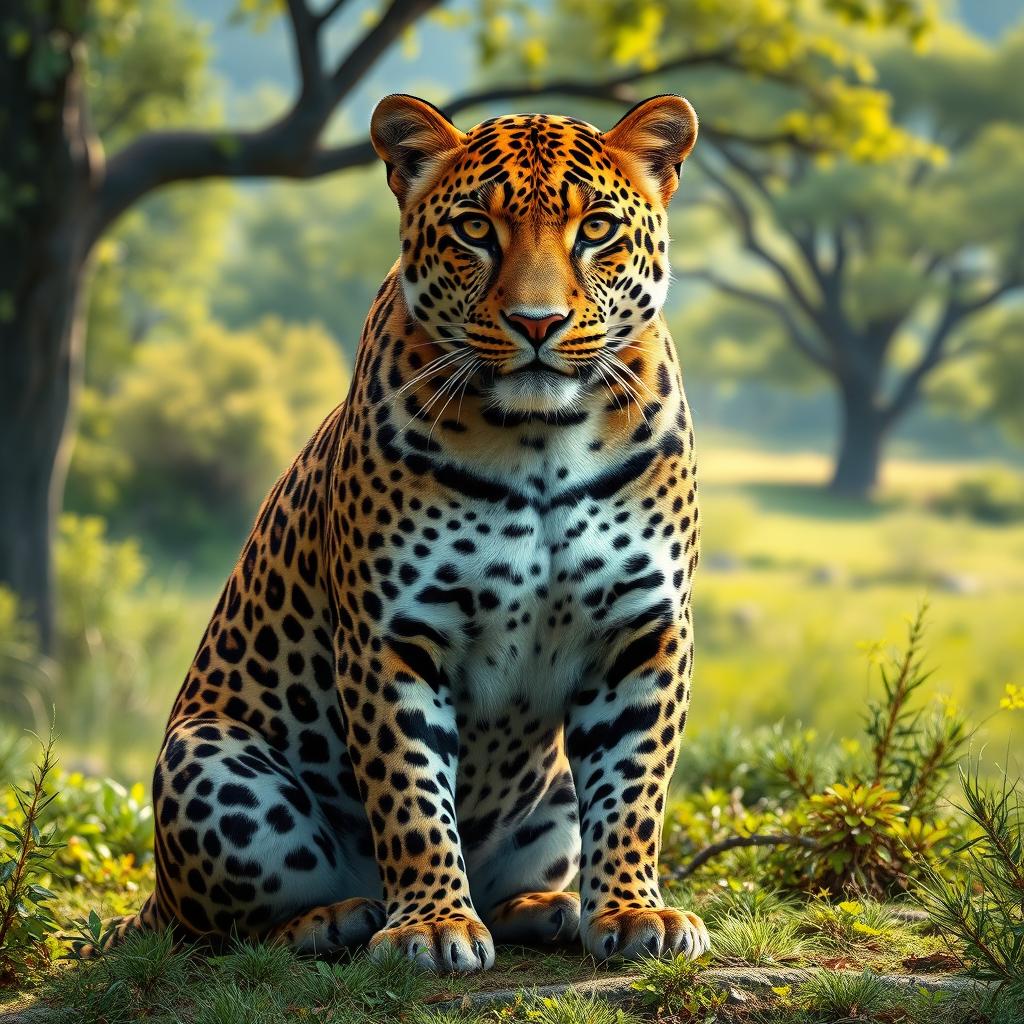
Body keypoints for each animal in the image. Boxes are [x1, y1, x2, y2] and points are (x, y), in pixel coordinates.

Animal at [82, 92, 709, 973]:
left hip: (550, 794)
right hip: (206, 766)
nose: (538, 323)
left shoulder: (642, 629)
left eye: (595, 230)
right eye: (476, 229)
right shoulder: (393, 635)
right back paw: (339, 919)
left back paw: (547, 909)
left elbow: (634, 788)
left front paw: (631, 910)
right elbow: (409, 789)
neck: (540, 437)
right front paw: (431, 926)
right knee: (215, 932)